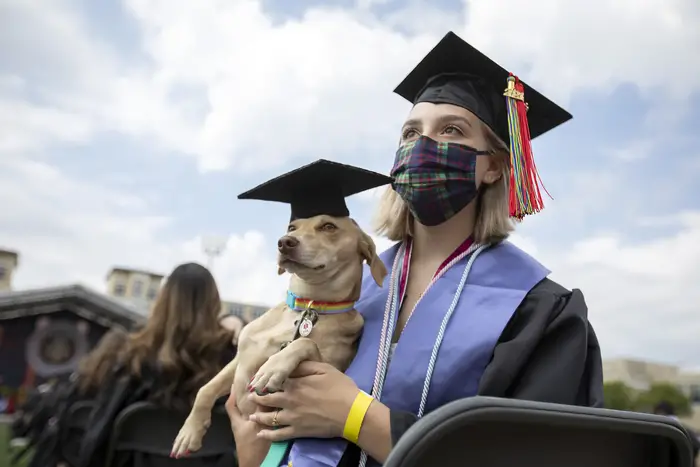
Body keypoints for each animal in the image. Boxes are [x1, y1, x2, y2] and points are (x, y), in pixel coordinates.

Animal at [170, 218, 388, 458]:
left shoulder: (329, 369)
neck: (307, 306)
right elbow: (206, 389)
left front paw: (272, 368)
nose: (285, 242)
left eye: (329, 226)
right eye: (292, 227)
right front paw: (189, 431)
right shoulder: (239, 360)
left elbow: (305, 342)